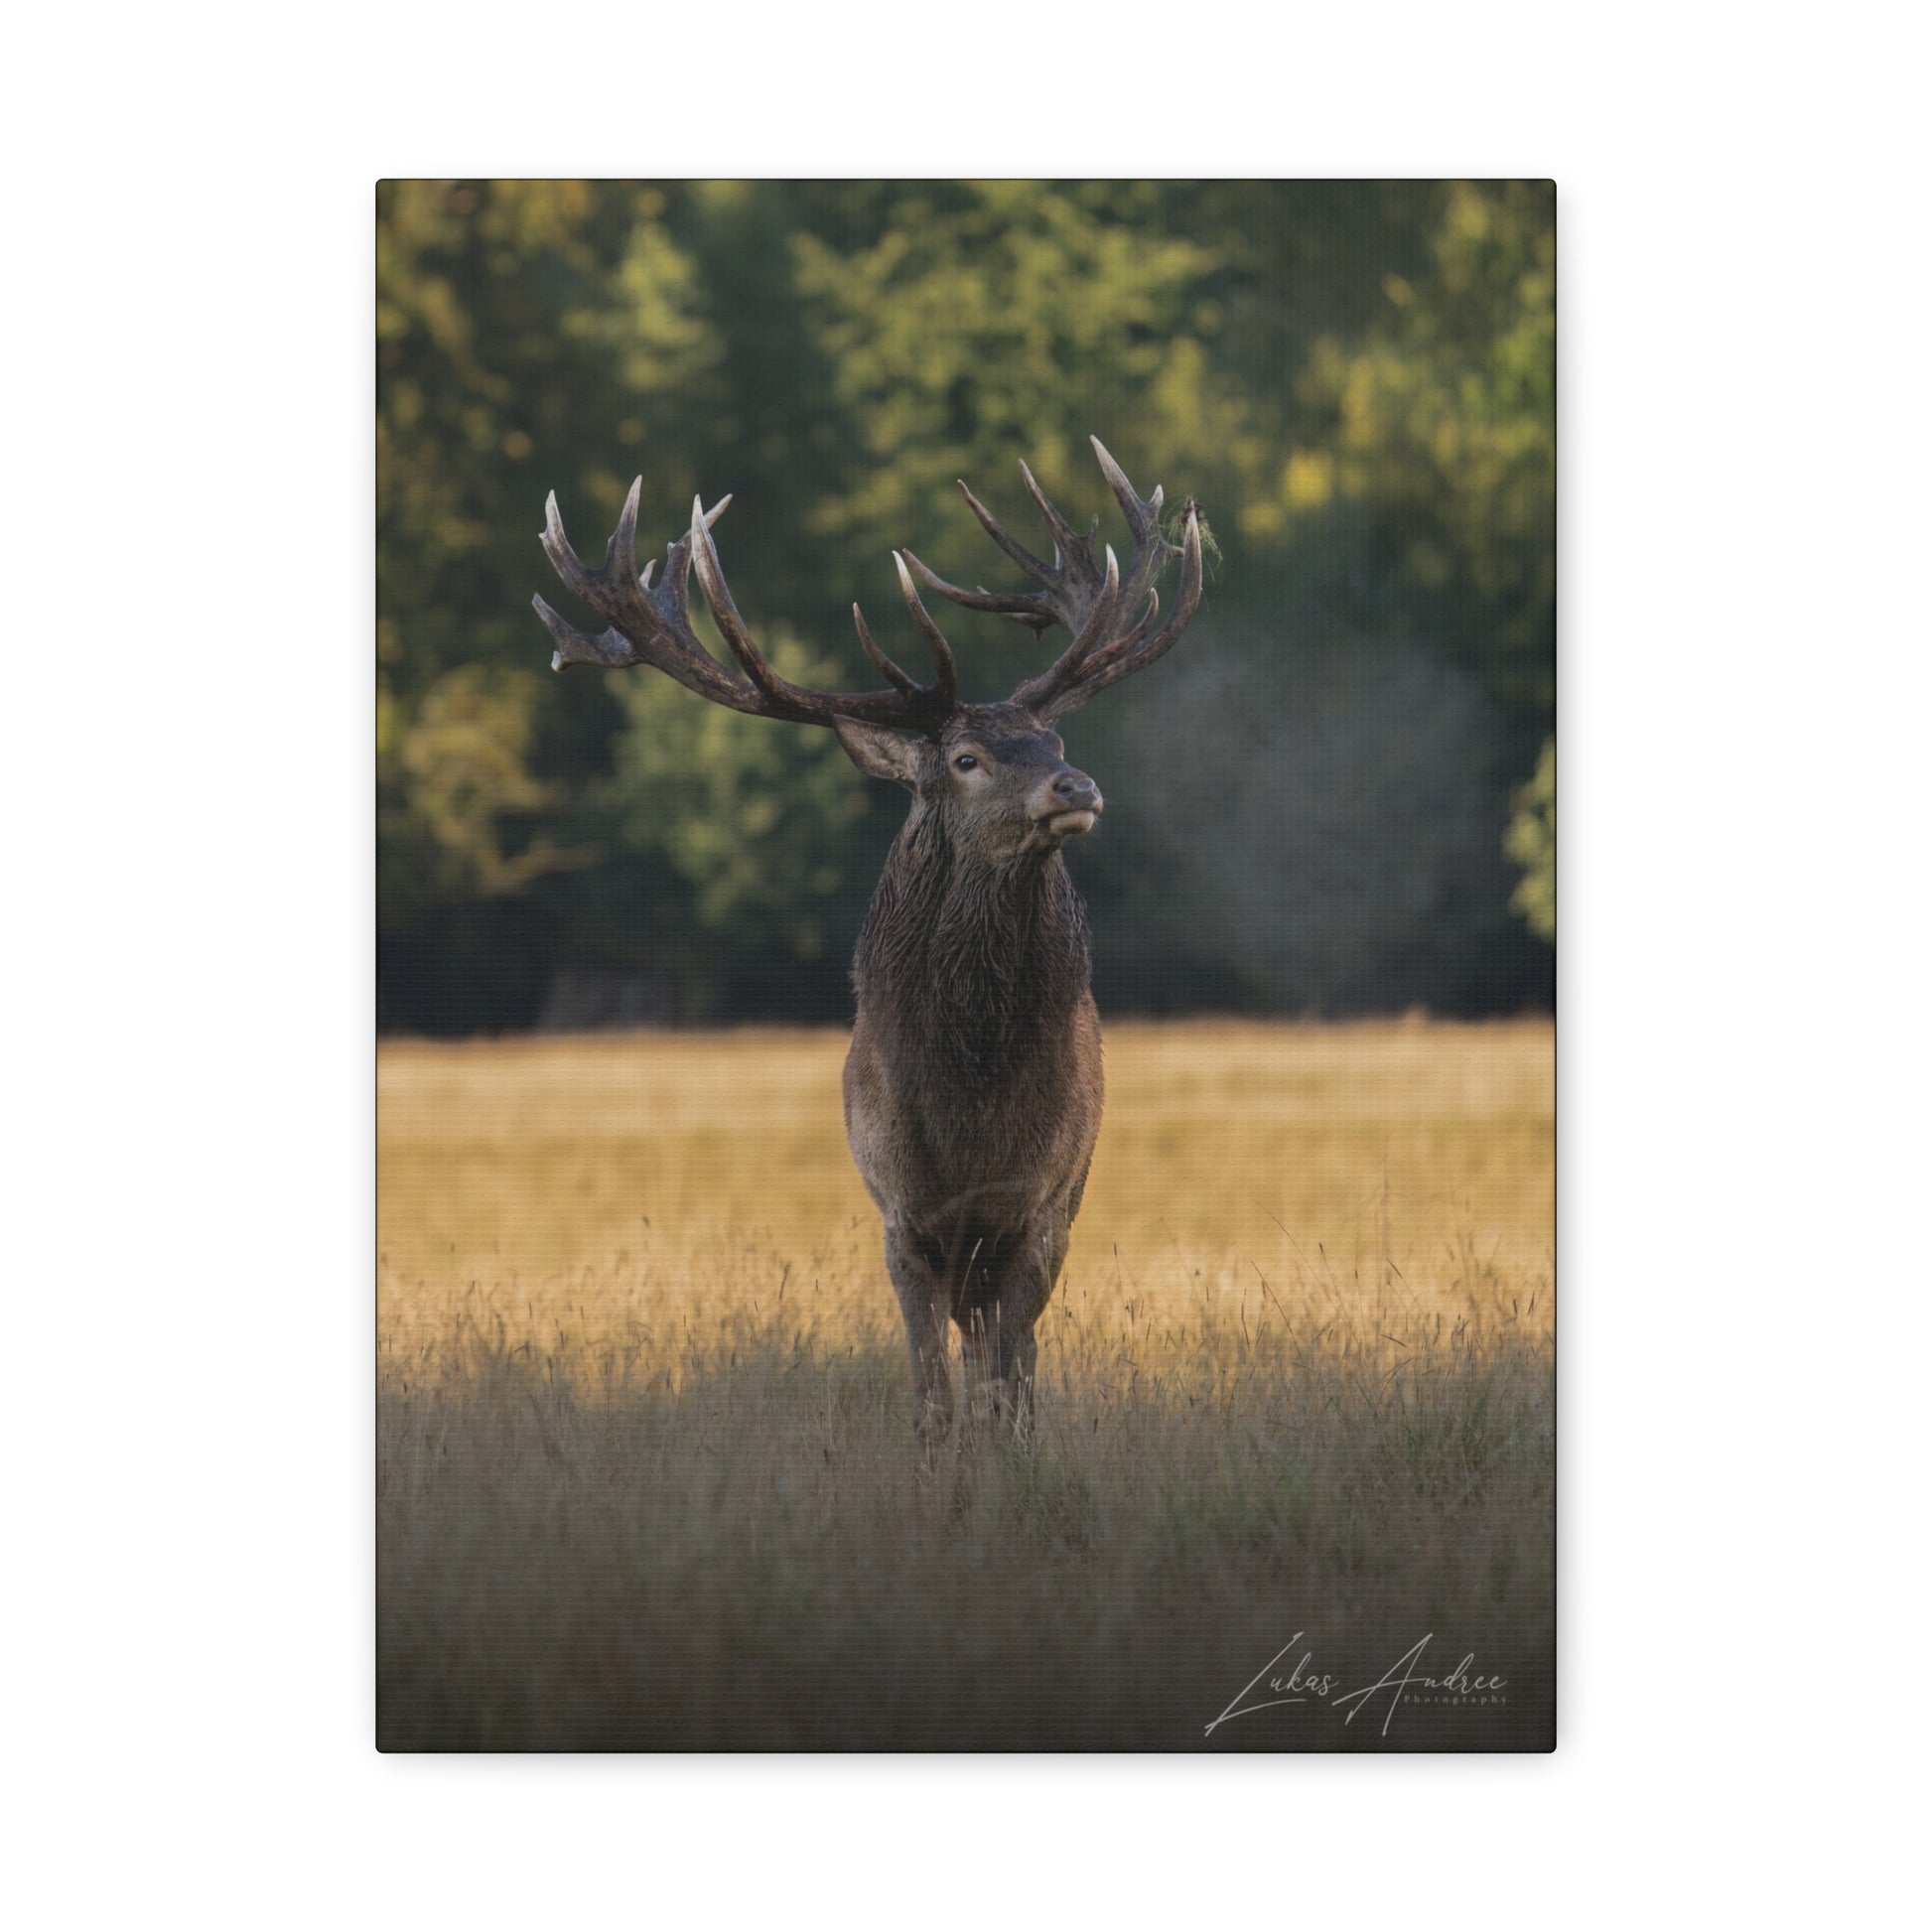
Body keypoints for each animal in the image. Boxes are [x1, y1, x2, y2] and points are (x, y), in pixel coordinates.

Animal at [534, 437, 1204, 1441]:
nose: (1077, 786)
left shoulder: (1037, 1208)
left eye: (1052, 740)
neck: (973, 1110)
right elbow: (931, 1396)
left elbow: (1006, 1388)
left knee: (1017, 1358)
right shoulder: (902, 1216)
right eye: (966, 759)